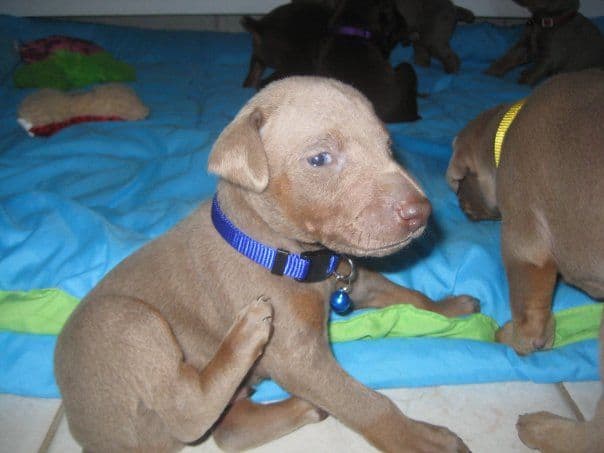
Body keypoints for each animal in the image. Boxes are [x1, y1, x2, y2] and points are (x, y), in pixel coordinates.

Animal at [55, 77, 476, 452]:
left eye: (388, 146)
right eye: (320, 158)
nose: (421, 212)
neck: (289, 256)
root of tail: (86, 434)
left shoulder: (353, 278)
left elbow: (407, 293)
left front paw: (450, 307)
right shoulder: (299, 358)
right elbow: (366, 403)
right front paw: (420, 440)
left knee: (229, 431)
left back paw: (304, 406)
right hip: (124, 322)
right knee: (187, 411)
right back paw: (246, 334)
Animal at [444, 67, 604, 448]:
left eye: (460, 182)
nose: (461, 206)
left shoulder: (523, 245)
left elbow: (529, 315)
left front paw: (516, 337)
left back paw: (545, 430)